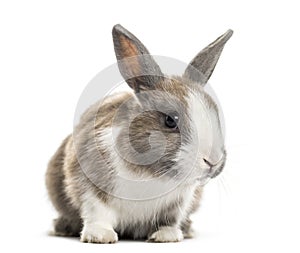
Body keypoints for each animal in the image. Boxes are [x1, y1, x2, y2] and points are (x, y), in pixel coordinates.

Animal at [45, 24, 233, 243]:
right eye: (170, 121)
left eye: (215, 115)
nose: (213, 161)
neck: (151, 174)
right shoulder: (90, 184)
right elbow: (97, 212)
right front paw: (100, 236)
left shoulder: (180, 201)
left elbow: (170, 219)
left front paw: (167, 236)